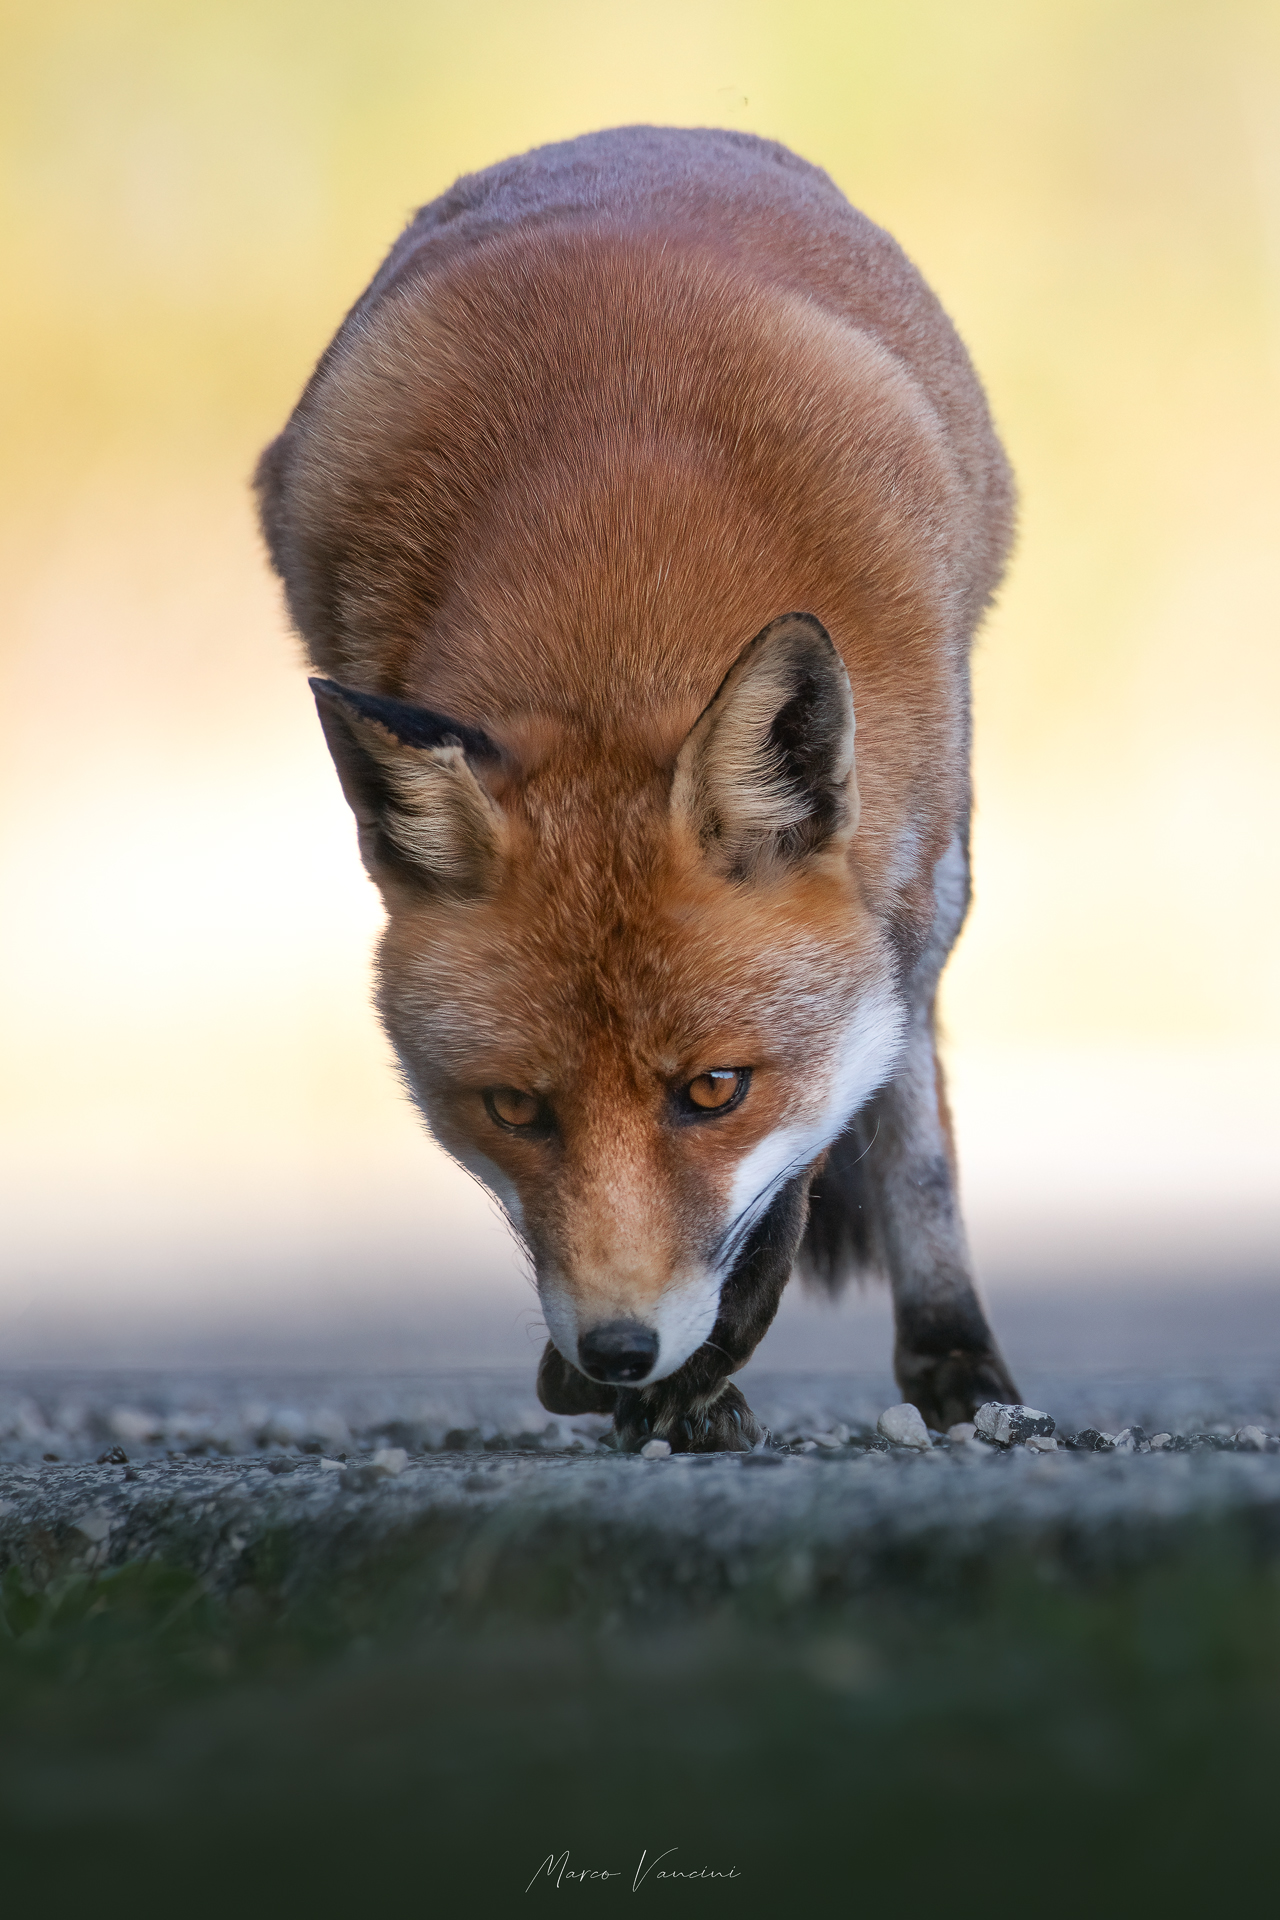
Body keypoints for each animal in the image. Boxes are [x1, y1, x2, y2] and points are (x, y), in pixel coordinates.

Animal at [255, 125, 1021, 1451]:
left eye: (714, 1091)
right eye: (514, 1109)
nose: (615, 1351)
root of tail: (640, 135)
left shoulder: (893, 891)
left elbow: (818, 1143)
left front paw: (694, 1370)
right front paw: (642, 1384)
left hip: (938, 864)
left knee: (911, 1113)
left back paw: (950, 1353)